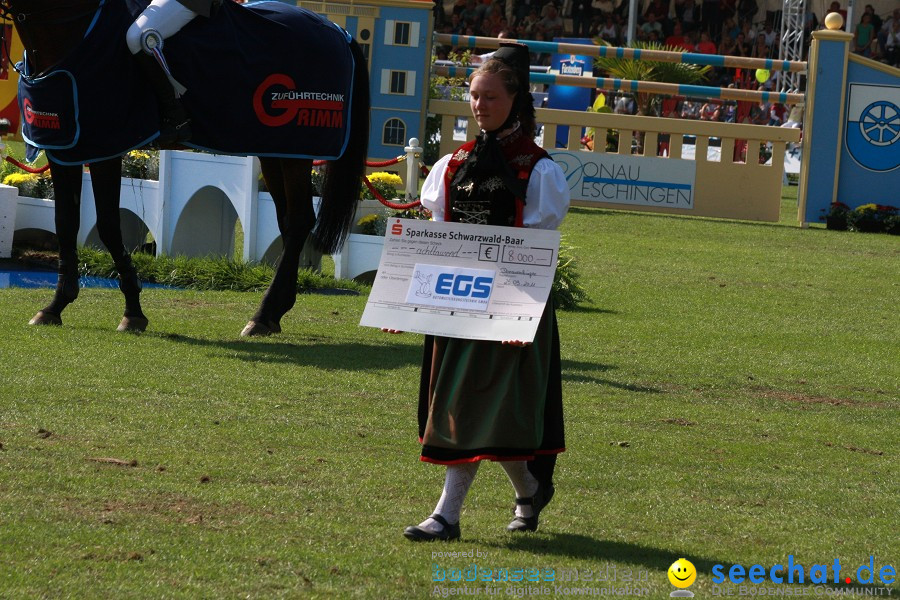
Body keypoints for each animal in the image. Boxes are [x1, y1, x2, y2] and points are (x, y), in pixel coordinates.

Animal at [1, 0, 370, 338]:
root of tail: (337, 30)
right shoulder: (64, 149)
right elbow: (65, 223)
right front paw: (55, 306)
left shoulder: (105, 149)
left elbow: (108, 226)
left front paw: (133, 312)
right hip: (276, 151)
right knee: (292, 222)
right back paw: (274, 311)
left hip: (298, 150)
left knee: (299, 220)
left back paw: (263, 315)